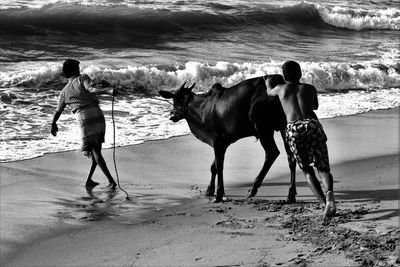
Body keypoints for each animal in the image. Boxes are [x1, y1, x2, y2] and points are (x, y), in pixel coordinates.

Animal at [159, 75, 296, 203]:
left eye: (176, 100)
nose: (172, 115)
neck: (201, 109)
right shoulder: (221, 143)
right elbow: (214, 167)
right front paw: (210, 190)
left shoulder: (218, 139)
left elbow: (219, 167)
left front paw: (219, 195)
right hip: (283, 127)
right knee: (291, 157)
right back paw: (291, 194)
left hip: (263, 128)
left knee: (272, 153)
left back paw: (253, 189)